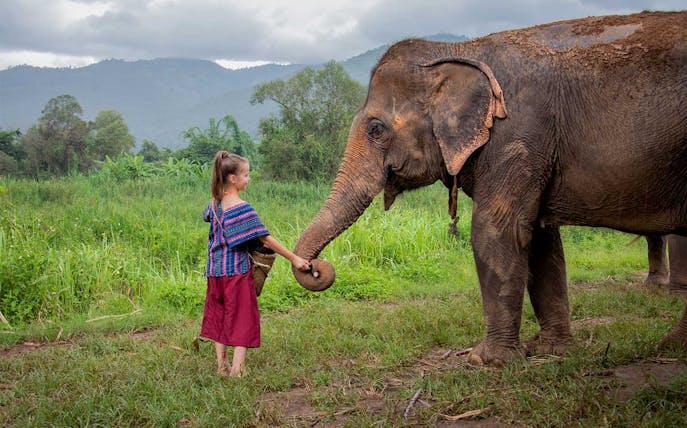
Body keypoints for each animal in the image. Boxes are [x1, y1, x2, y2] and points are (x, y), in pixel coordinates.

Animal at [291, 11, 687, 365]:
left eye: (376, 129)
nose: (315, 268)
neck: (459, 50)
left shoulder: (517, 134)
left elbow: (496, 230)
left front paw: (487, 359)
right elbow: (541, 239)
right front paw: (551, 350)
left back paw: (669, 348)